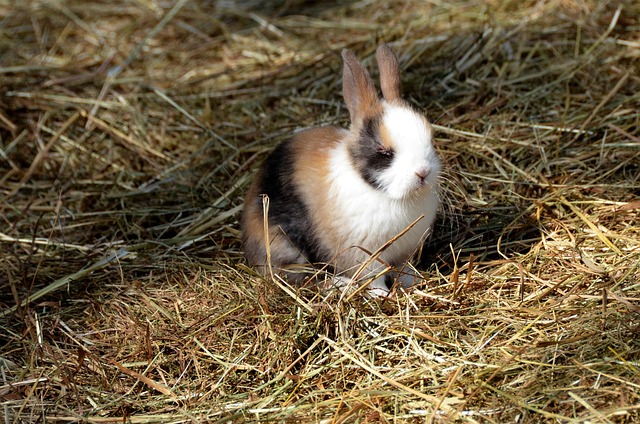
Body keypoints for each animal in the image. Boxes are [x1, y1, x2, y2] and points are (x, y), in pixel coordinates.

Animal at [241, 43, 440, 295]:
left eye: (430, 138)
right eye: (385, 152)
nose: (423, 172)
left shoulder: (405, 251)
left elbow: (404, 270)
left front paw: (414, 282)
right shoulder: (363, 255)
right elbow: (373, 278)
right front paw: (381, 295)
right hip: (285, 248)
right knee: (298, 279)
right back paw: (340, 284)